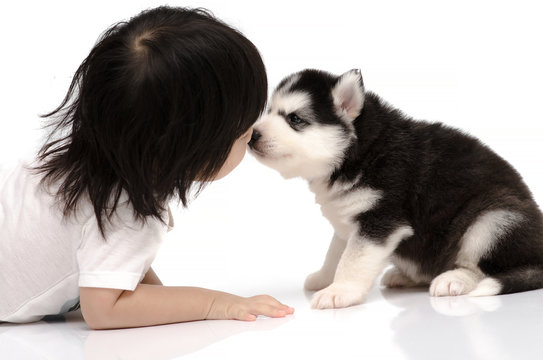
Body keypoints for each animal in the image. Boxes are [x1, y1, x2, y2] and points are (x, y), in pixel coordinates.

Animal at [249, 69, 543, 310]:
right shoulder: (349, 221)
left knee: (480, 266)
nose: (252, 135)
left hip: (495, 217)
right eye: (269, 111)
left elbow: (353, 260)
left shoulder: (380, 221)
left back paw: (453, 279)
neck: (360, 151)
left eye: (295, 119)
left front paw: (340, 291)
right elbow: (336, 254)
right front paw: (323, 278)